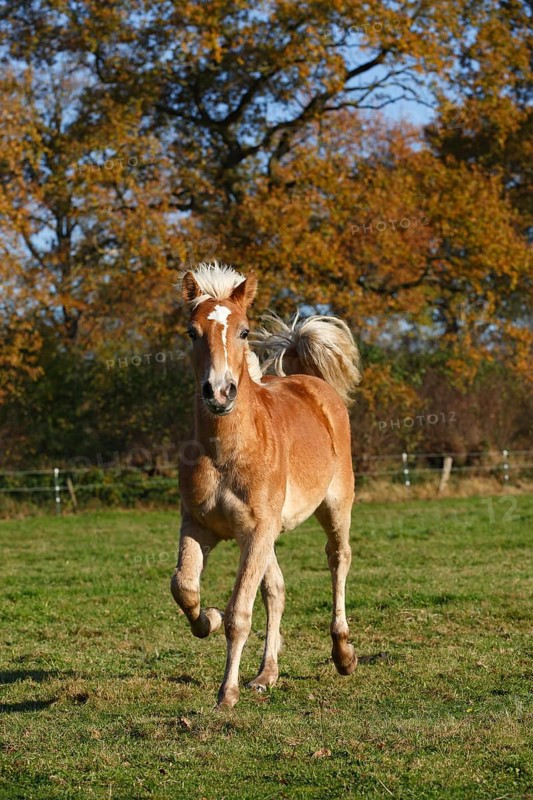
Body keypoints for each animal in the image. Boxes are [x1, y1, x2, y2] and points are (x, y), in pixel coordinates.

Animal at [171, 262, 362, 707]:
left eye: (243, 331)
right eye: (191, 332)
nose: (219, 392)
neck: (226, 452)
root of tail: (311, 383)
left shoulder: (257, 531)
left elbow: (239, 614)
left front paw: (227, 693)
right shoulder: (201, 526)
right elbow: (185, 587)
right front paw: (206, 619)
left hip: (335, 505)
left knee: (337, 559)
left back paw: (343, 653)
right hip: (264, 534)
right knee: (276, 589)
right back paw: (266, 673)